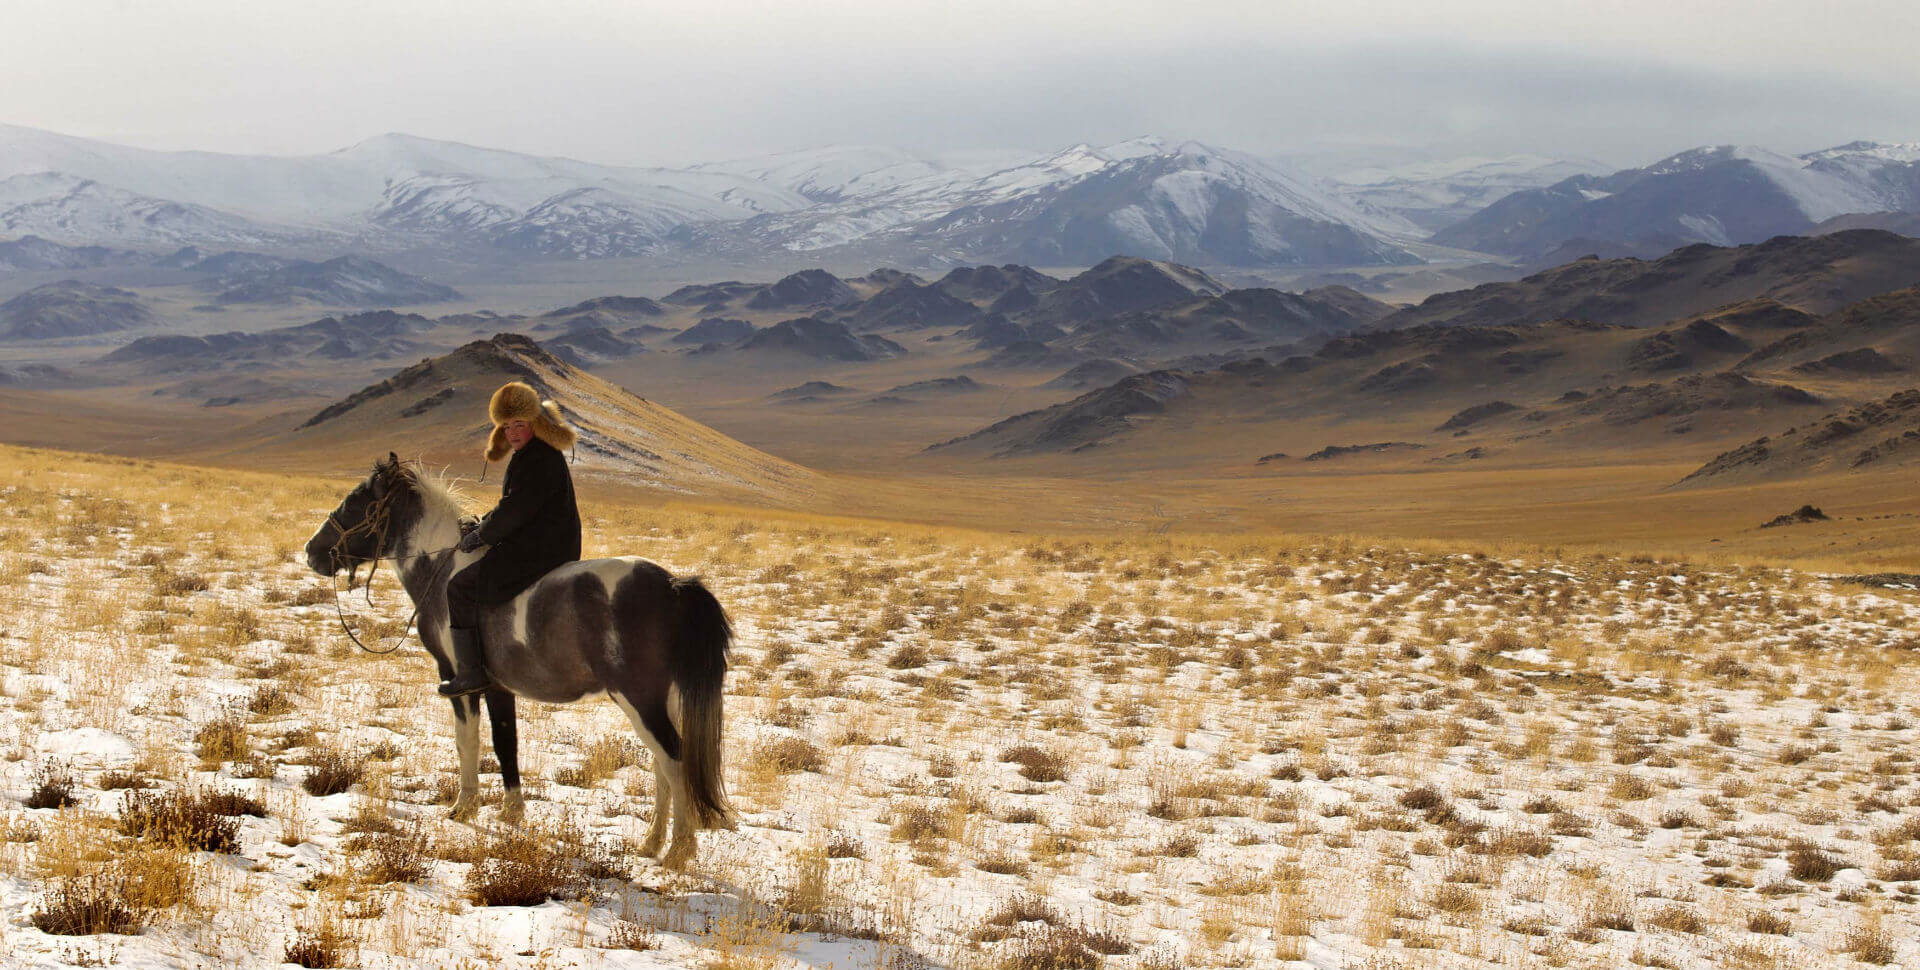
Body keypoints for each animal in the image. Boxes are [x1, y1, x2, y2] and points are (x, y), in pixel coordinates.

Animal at [303, 449, 729, 864]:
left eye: (357, 501)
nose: (312, 552)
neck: (442, 570)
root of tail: (674, 585)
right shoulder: (498, 686)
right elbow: (505, 741)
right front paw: (511, 810)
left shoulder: (458, 681)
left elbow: (467, 740)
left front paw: (464, 807)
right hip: (660, 700)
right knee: (661, 765)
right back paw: (651, 844)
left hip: (638, 699)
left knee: (673, 759)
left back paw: (679, 850)